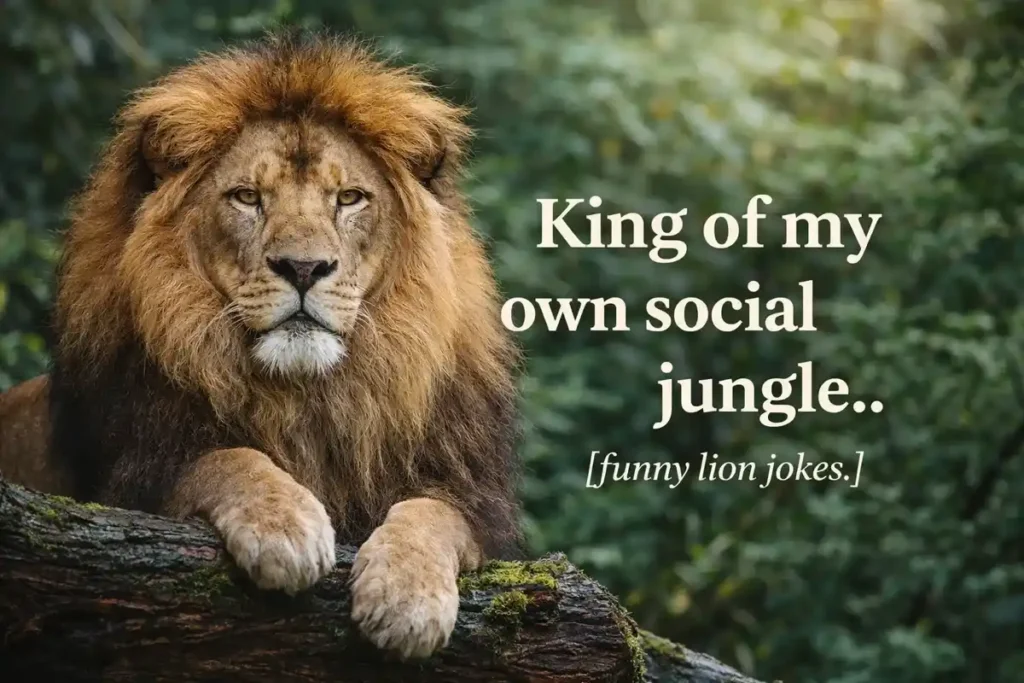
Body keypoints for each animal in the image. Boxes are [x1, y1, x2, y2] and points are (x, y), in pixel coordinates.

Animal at [0, 31, 522, 660]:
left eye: (350, 198)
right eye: (247, 197)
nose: (304, 268)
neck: (310, 397)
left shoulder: (477, 504)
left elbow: (433, 513)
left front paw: (408, 599)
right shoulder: (134, 475)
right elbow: (227, 458)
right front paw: (285, 525)